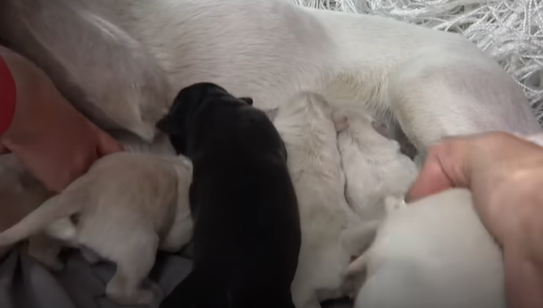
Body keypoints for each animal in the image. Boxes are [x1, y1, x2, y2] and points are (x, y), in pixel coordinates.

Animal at [0, 152, 193, 306]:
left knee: (39, 250)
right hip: (144, 245)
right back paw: (151, 296)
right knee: (118, 289)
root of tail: (81, 194)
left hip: (54, 230)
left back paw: (56, 264)